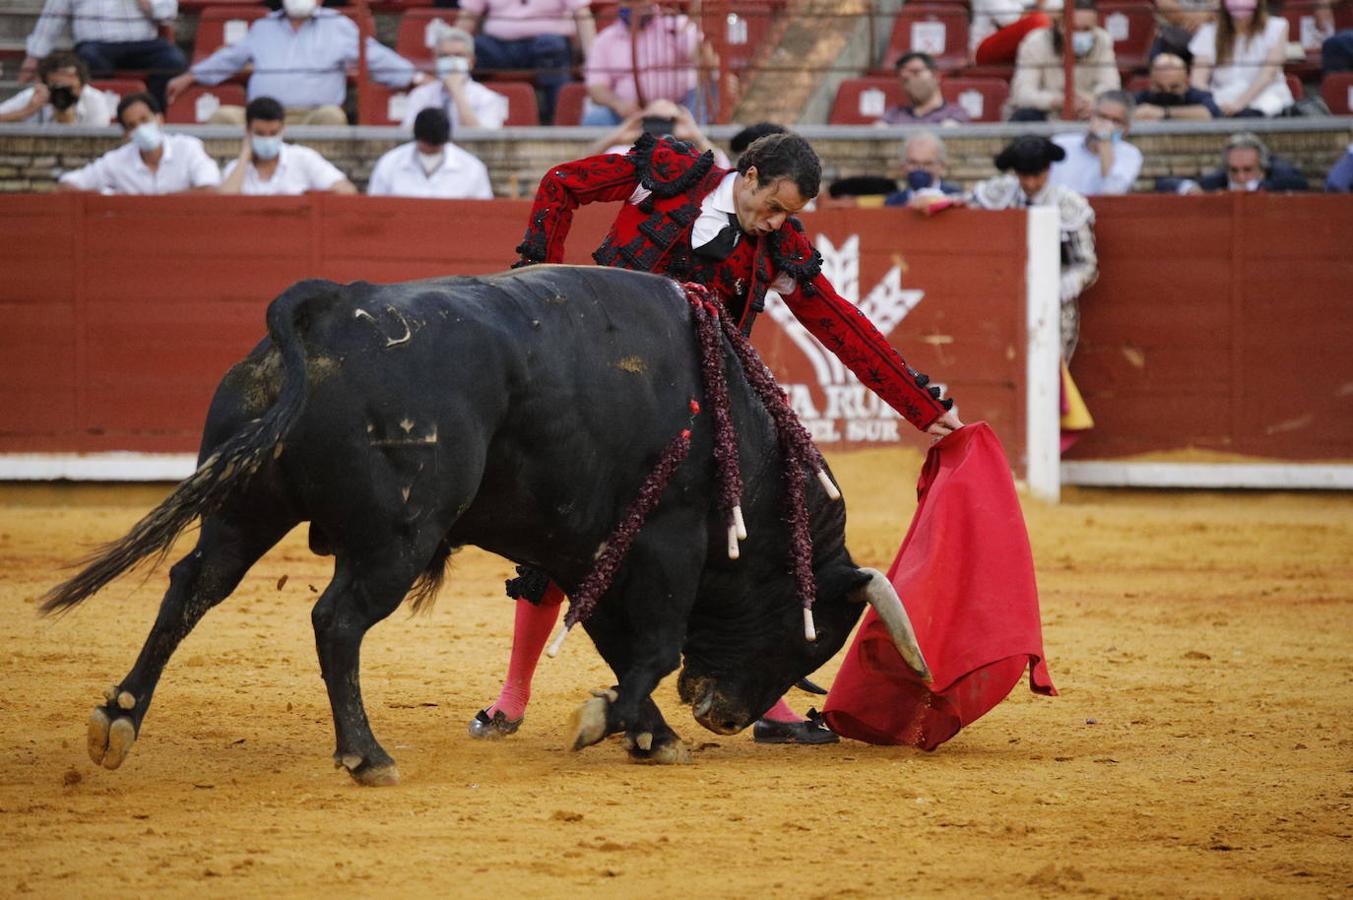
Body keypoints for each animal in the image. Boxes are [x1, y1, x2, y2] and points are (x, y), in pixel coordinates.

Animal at [44, 263, 930, 784]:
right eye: (810, 641)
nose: (725, 715)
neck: (739, 435)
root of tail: (331, 308)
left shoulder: (584, 549)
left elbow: (619, 643)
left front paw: (648, 733)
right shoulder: (668, 537)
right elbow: (652, 646)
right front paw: (608, 722)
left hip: (243, 507)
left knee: (192, 587)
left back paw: (118, 719)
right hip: (394, 537)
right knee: (336, 621)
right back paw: (366, 755)